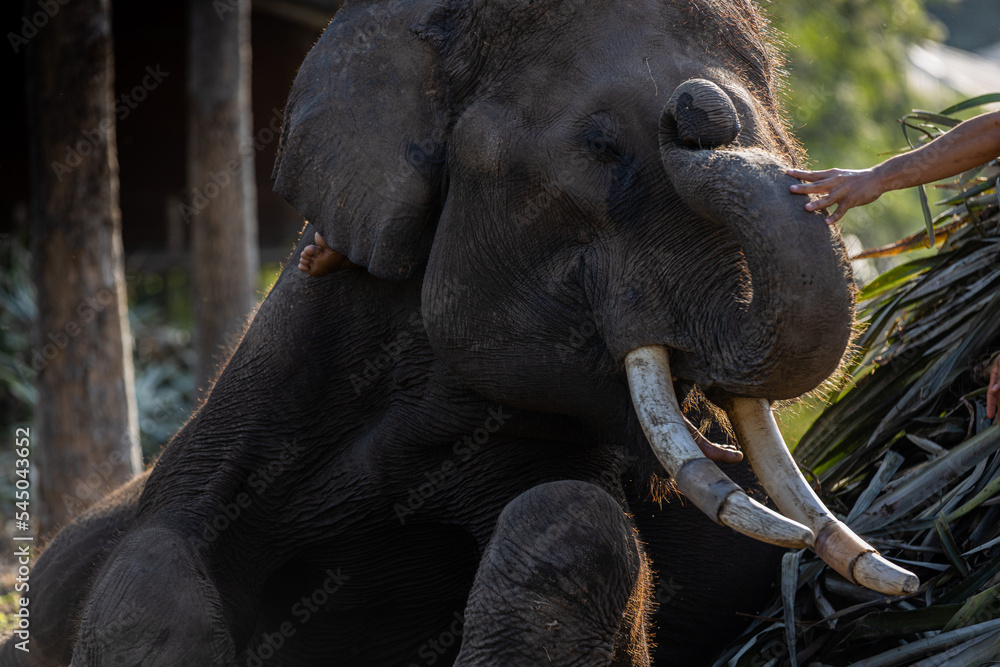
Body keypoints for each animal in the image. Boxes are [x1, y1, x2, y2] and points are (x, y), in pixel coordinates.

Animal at [2, 0, 919, 665]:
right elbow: (152, 573)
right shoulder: (266, 391)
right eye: (601, 144)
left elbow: (572, 522)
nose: (699, 113)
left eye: (787, 131)